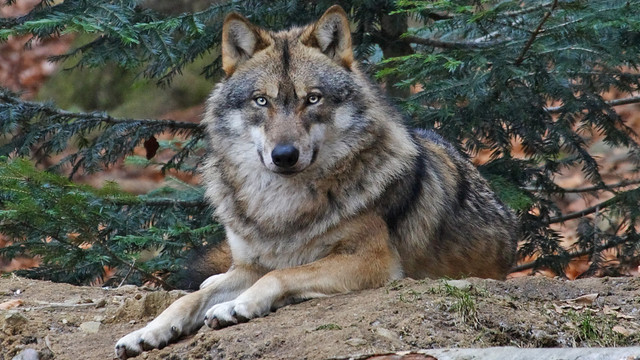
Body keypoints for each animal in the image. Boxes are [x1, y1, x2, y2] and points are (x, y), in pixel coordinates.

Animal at [114, 4, 516, 358]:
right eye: (261, 101)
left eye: (312, 99)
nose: (284, 155)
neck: (281, 206)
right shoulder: (250, 265)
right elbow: (187, 300)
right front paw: (146, 332)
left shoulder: (373, 262)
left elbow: (283, 274)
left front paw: (237, 306)